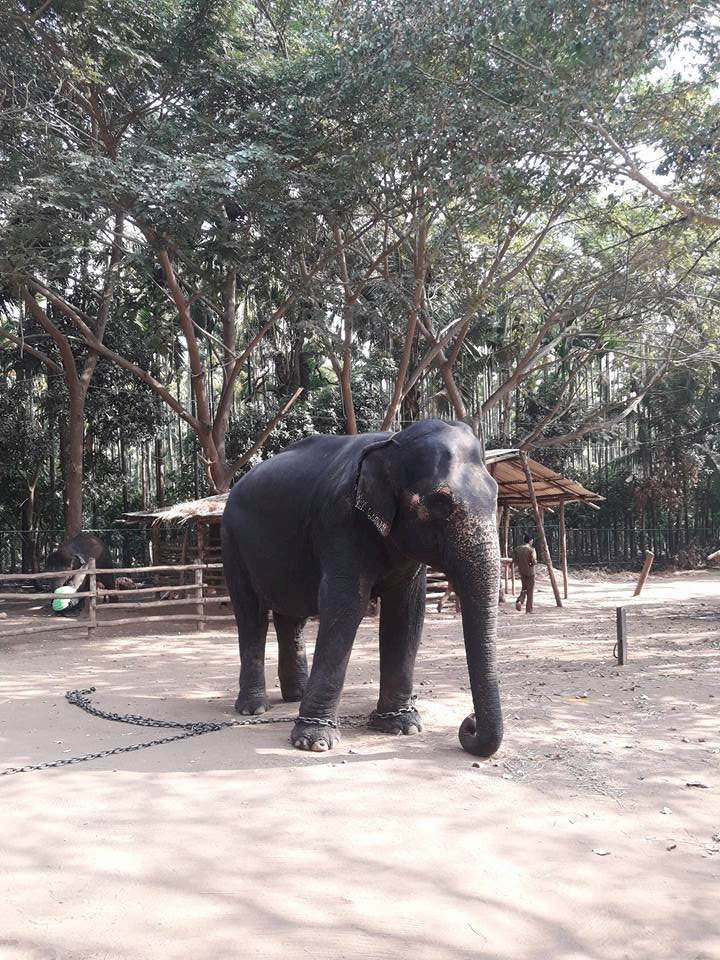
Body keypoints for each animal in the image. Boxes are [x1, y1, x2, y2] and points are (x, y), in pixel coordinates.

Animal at [221, 419, 502, 757]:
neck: (392, 442)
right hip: (232, 543)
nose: (469, 723)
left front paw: (402, 726)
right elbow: (345, 604)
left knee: (291, 618)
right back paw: (253, 708)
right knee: (251, 616)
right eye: (439, 503)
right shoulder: (340, 521)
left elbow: (407, 612)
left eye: (496, 496)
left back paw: (295, 696)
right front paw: (314, 742)